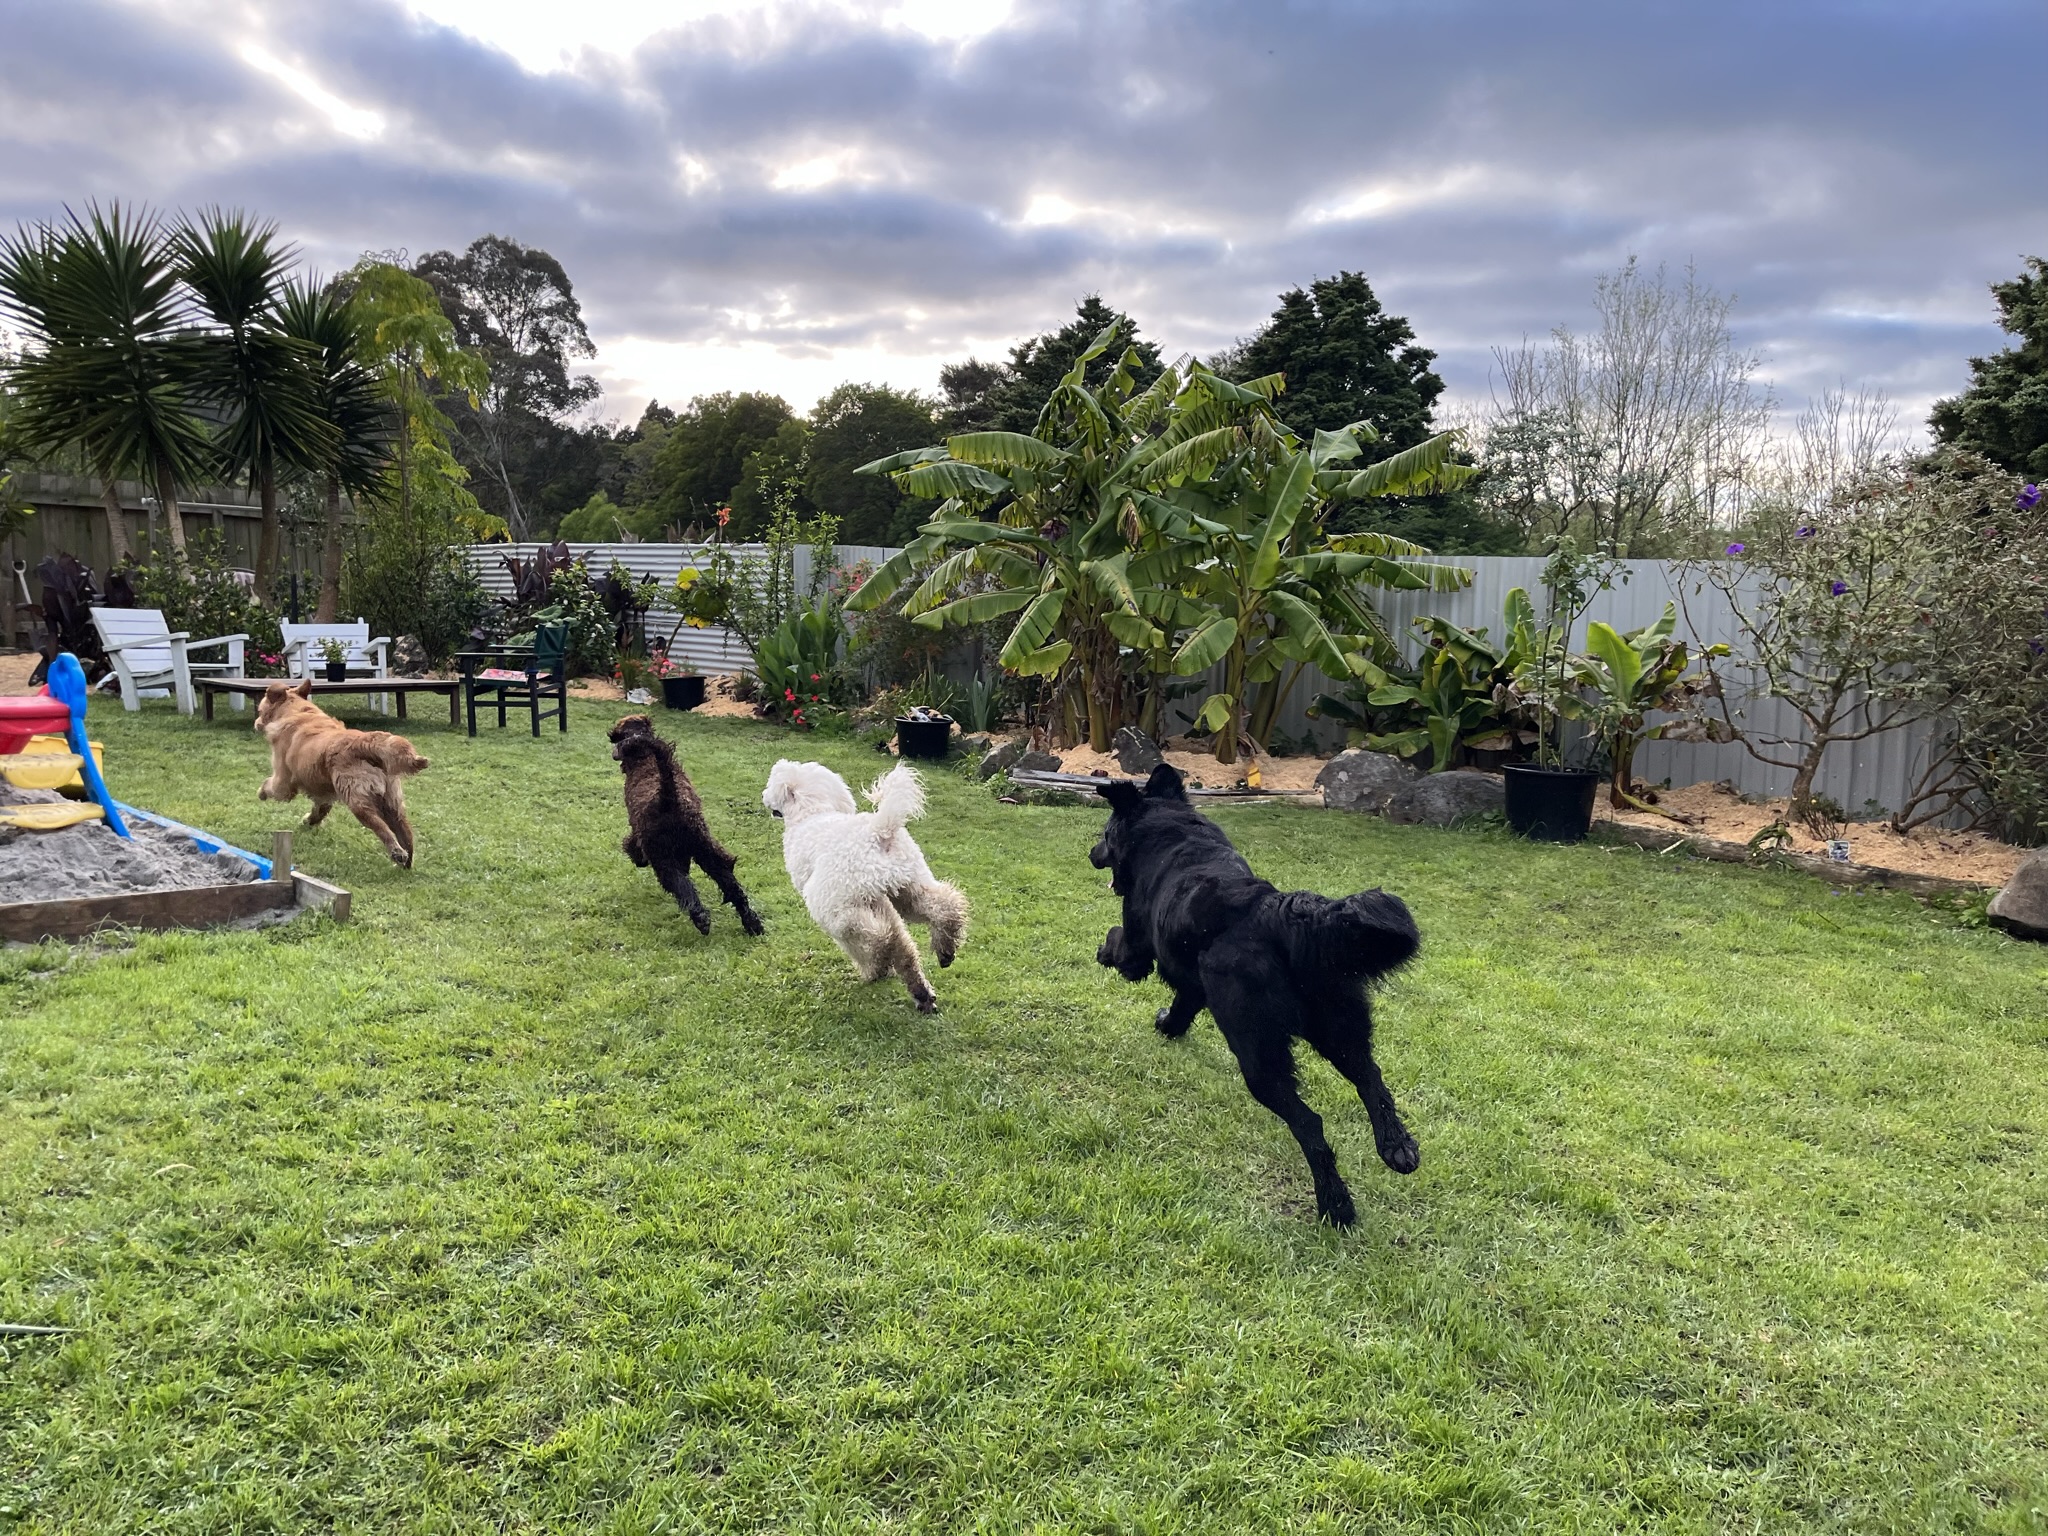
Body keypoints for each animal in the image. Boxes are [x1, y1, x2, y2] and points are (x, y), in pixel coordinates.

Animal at [614, 720, 770, 937]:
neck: (645, 759)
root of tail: (669, 798)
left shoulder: (641, 836)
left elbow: (631, 845)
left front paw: (638, 859)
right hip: (707, 851)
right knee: (732, 887)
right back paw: (752, 924)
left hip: (664, 859)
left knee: (683, 887)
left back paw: (701, 920)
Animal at [765, 765, 970, 1015]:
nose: (764, 797)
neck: (811, 812)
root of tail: (879, 831)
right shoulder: (880, 901)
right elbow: (904, 949)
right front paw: (919, 991)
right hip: (908, 889)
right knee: (944, 907)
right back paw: (943, 954)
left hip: (837, 908)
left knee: (878, 936)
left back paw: (879, 963)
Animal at [1089, 765, 1425, 1228]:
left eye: (1106, 833)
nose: (1091, 853)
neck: (1172, 832)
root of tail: (1277, 911)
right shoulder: (1193, 982)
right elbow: (1183, 1006)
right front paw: (1169, 1026)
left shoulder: (1140, 941)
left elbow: (1118, 939)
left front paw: (1105, 955)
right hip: (1340, 1028)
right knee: (1372, 1080)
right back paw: (1397, 1148)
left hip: (1259, 1054)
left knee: (1310, 1124)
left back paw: (1336, 1205)